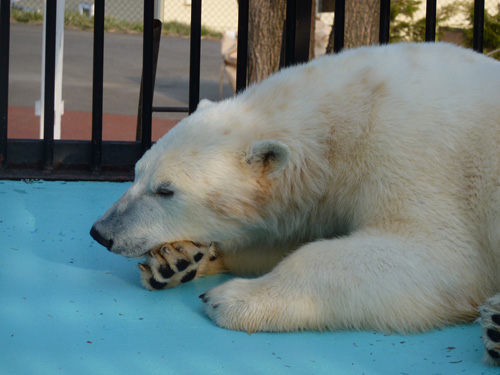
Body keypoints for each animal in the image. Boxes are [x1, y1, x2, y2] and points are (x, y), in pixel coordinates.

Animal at [90, 42, 500, 366]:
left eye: (166, 190)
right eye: (136, 172)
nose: (102, 233)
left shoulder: (414, 157)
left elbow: (439, 255)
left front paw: (233, 298)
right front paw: (176, 260)